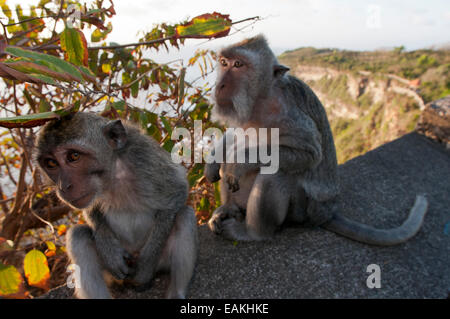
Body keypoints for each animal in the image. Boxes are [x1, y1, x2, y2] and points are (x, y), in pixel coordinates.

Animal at [34, 112, 196, 300]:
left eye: (73, 156)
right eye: (51, 163)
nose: (63, 187)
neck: (113, 172)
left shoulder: (145, 159)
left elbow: (177, 192)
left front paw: (146, 266)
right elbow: (90, 209)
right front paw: (108, 248)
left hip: (161, 260)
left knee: (184, 215)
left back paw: (174, 292)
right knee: (78, 236)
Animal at [205, 34, 428, 245]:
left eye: (238, 64)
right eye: (224, 62)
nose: (220, 85)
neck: (260, 100)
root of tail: (326, 213)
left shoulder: (289, 114)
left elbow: (309, 154)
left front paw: (239, 162)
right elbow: (234, 134)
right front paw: (213, 163)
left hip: (302, 211)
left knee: (276, 172)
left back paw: (252, 233)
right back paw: (229, 209)